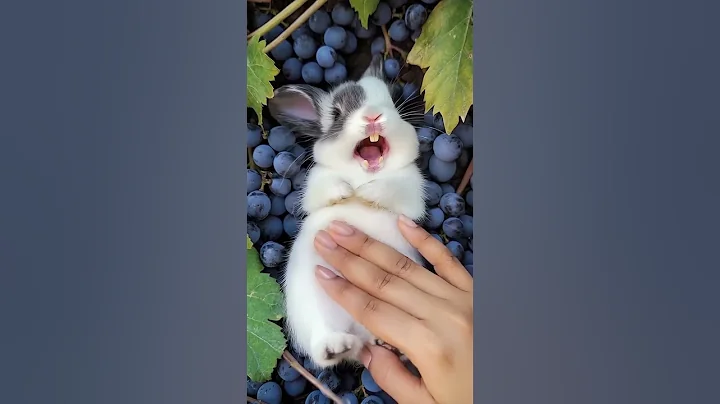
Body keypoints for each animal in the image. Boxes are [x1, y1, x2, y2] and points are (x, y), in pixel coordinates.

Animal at [267, 55, 428, 369]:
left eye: (391, 102)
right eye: (337, 113)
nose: (373, 117)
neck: (363, 173)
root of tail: (360, 335)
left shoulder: (409, 187)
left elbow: (391, 189)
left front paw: (366, 194)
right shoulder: (317, 181)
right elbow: (326, 189)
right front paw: (346, 192)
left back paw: (390, 346)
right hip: (317, 302)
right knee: (325, 343)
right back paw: (336, 347)